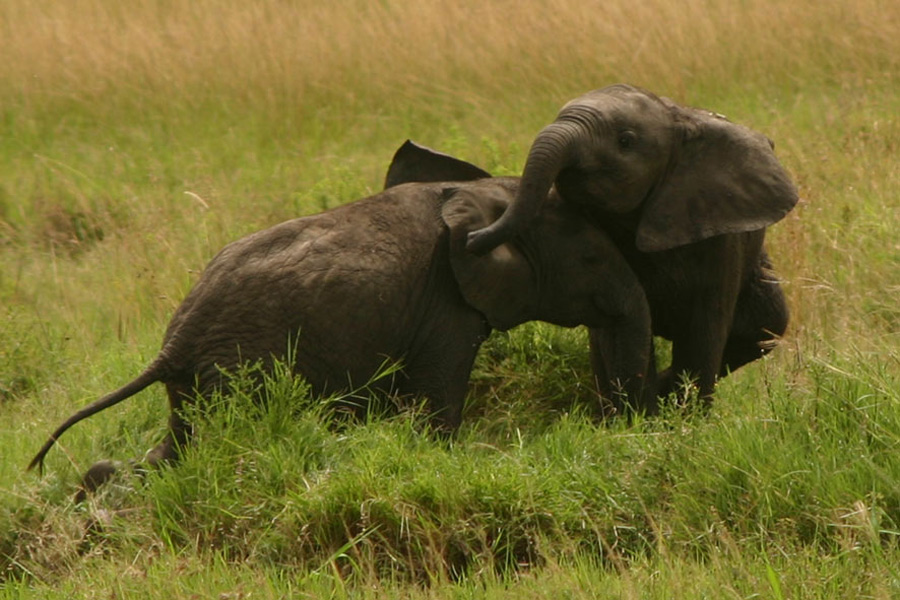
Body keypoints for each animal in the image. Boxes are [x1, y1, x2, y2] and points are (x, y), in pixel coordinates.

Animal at [28, 170, 652, 496]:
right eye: (592, 258)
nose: (618, 425)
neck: (487, 192)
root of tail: (172, 343)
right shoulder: (445, 305)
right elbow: (438, 403)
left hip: (205, 378)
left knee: (177, 447)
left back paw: (98, 484)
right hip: (238, 369)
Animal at [418, 85, 800, 412]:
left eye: (625, 141)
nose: (470, 239)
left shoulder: (717, 232)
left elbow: (704, 325)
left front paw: (685, 422)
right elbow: (615, 324)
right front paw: (632, 420)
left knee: (764, 328)